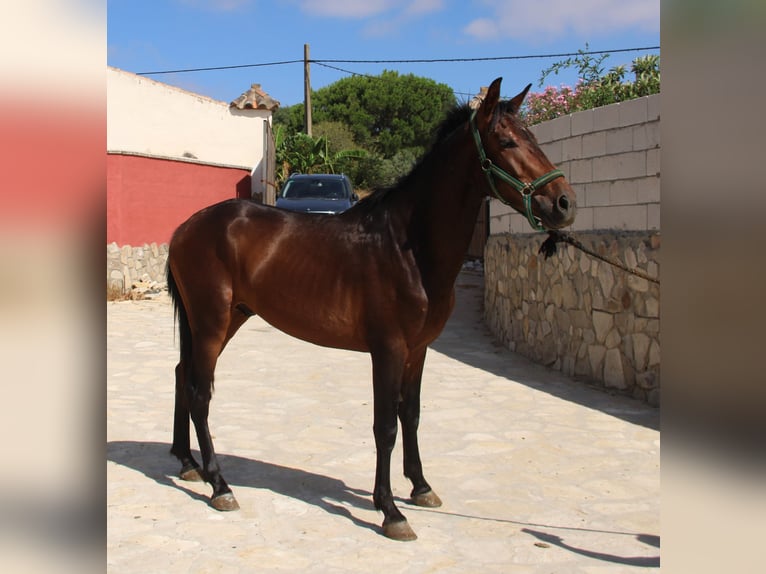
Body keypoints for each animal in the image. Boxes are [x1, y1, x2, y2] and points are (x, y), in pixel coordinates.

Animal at [166, 79, 576, 544]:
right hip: (212, 322)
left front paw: (421, 487)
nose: (564, 203)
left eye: (534, 137)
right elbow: (386, 426)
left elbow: (411, 416)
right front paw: (390, 511)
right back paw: (220, 485)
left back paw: (188, 464)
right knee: (200, 392)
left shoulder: (418, 350)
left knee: (182, 375)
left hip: (222, 320)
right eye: (506, 141)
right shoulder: (388, 350)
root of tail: (186, 228)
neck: (408, 247)